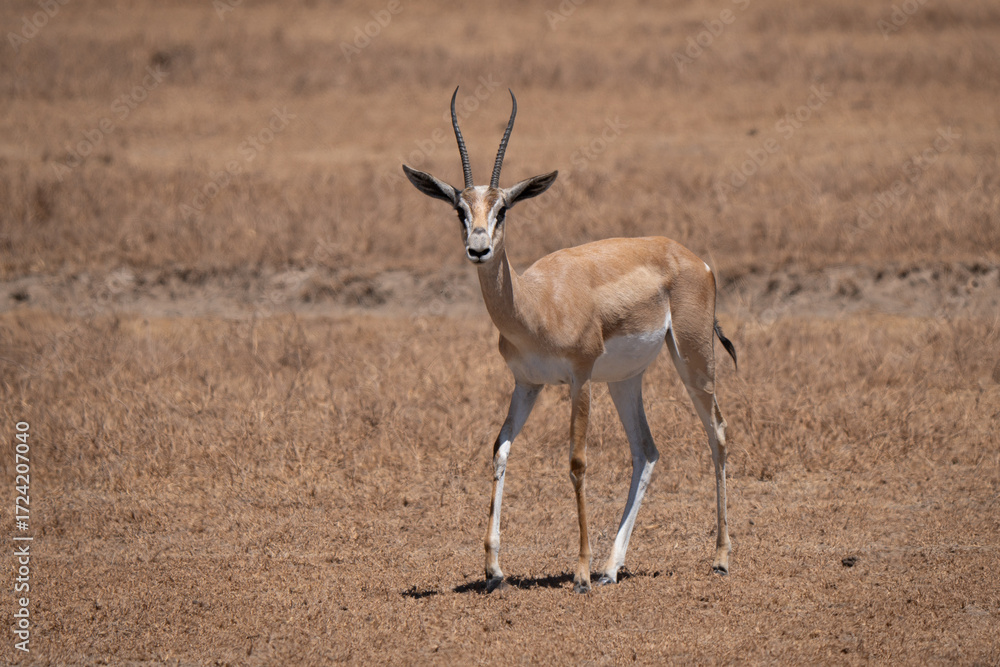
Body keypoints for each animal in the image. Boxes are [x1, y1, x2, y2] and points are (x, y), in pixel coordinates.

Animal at [402, 88, 737, 594]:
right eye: (460, 209)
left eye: (503, 209)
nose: (478, 248)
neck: (535, 303)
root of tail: (694, 259)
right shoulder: (527, 384)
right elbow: (500, 449)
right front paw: (493, 570)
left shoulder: (579, 379)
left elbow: (577, 462)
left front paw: (579, 570)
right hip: (624, 380)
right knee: (646, 451)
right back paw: (612, 567)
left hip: (693, 359)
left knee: (716, 431)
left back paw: (717, 557)